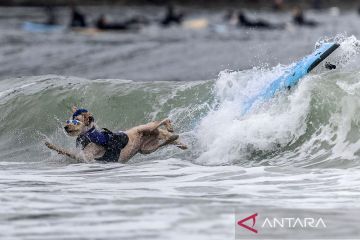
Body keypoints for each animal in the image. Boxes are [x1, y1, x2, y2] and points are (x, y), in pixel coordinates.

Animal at [45, 107, 187, 163]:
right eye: (68, 121)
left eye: (76, 121)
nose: (65, 126)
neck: (89, 135)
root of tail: (153, 133)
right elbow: (67, 151)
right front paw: (51, 145)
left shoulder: (87, 155)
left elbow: (69, 151)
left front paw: (51, 145)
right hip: (147, 148)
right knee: (165, 140)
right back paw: (176, 140)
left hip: (146, 128)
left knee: (160, 121)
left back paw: (169, 127)